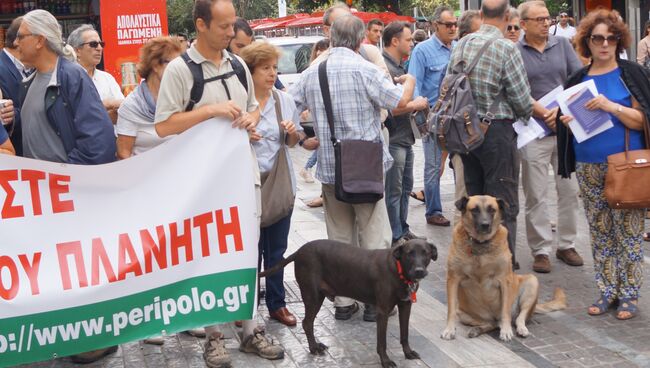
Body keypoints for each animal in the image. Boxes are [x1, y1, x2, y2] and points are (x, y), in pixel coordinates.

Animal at [258, 239, 436, 366]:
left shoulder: (406, 305)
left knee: (308, 323)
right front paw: (385, 361)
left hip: (318, 296)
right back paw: (314, 348)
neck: (399, 270)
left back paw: (315, 346)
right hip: (312, 296)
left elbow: (404, 334)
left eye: (425, 253)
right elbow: (382, 342)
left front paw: (408, 353)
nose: (419, 271)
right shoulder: (382, 311)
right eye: (409, 254)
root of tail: (300, 251)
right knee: (307, 323)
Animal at [438, 196, 564, 342]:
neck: (481, 244)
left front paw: (506, 331)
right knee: (490, 323)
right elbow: (451, 310)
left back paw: (520, 328)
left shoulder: (505, 281)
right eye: (474, 210)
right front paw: (449, 329)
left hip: (532, 283)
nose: (485, 225)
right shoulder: (453, 279)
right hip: (464, 314)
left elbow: (505, 311)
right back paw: (477, 329)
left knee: (519, 317)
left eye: (492, 210)